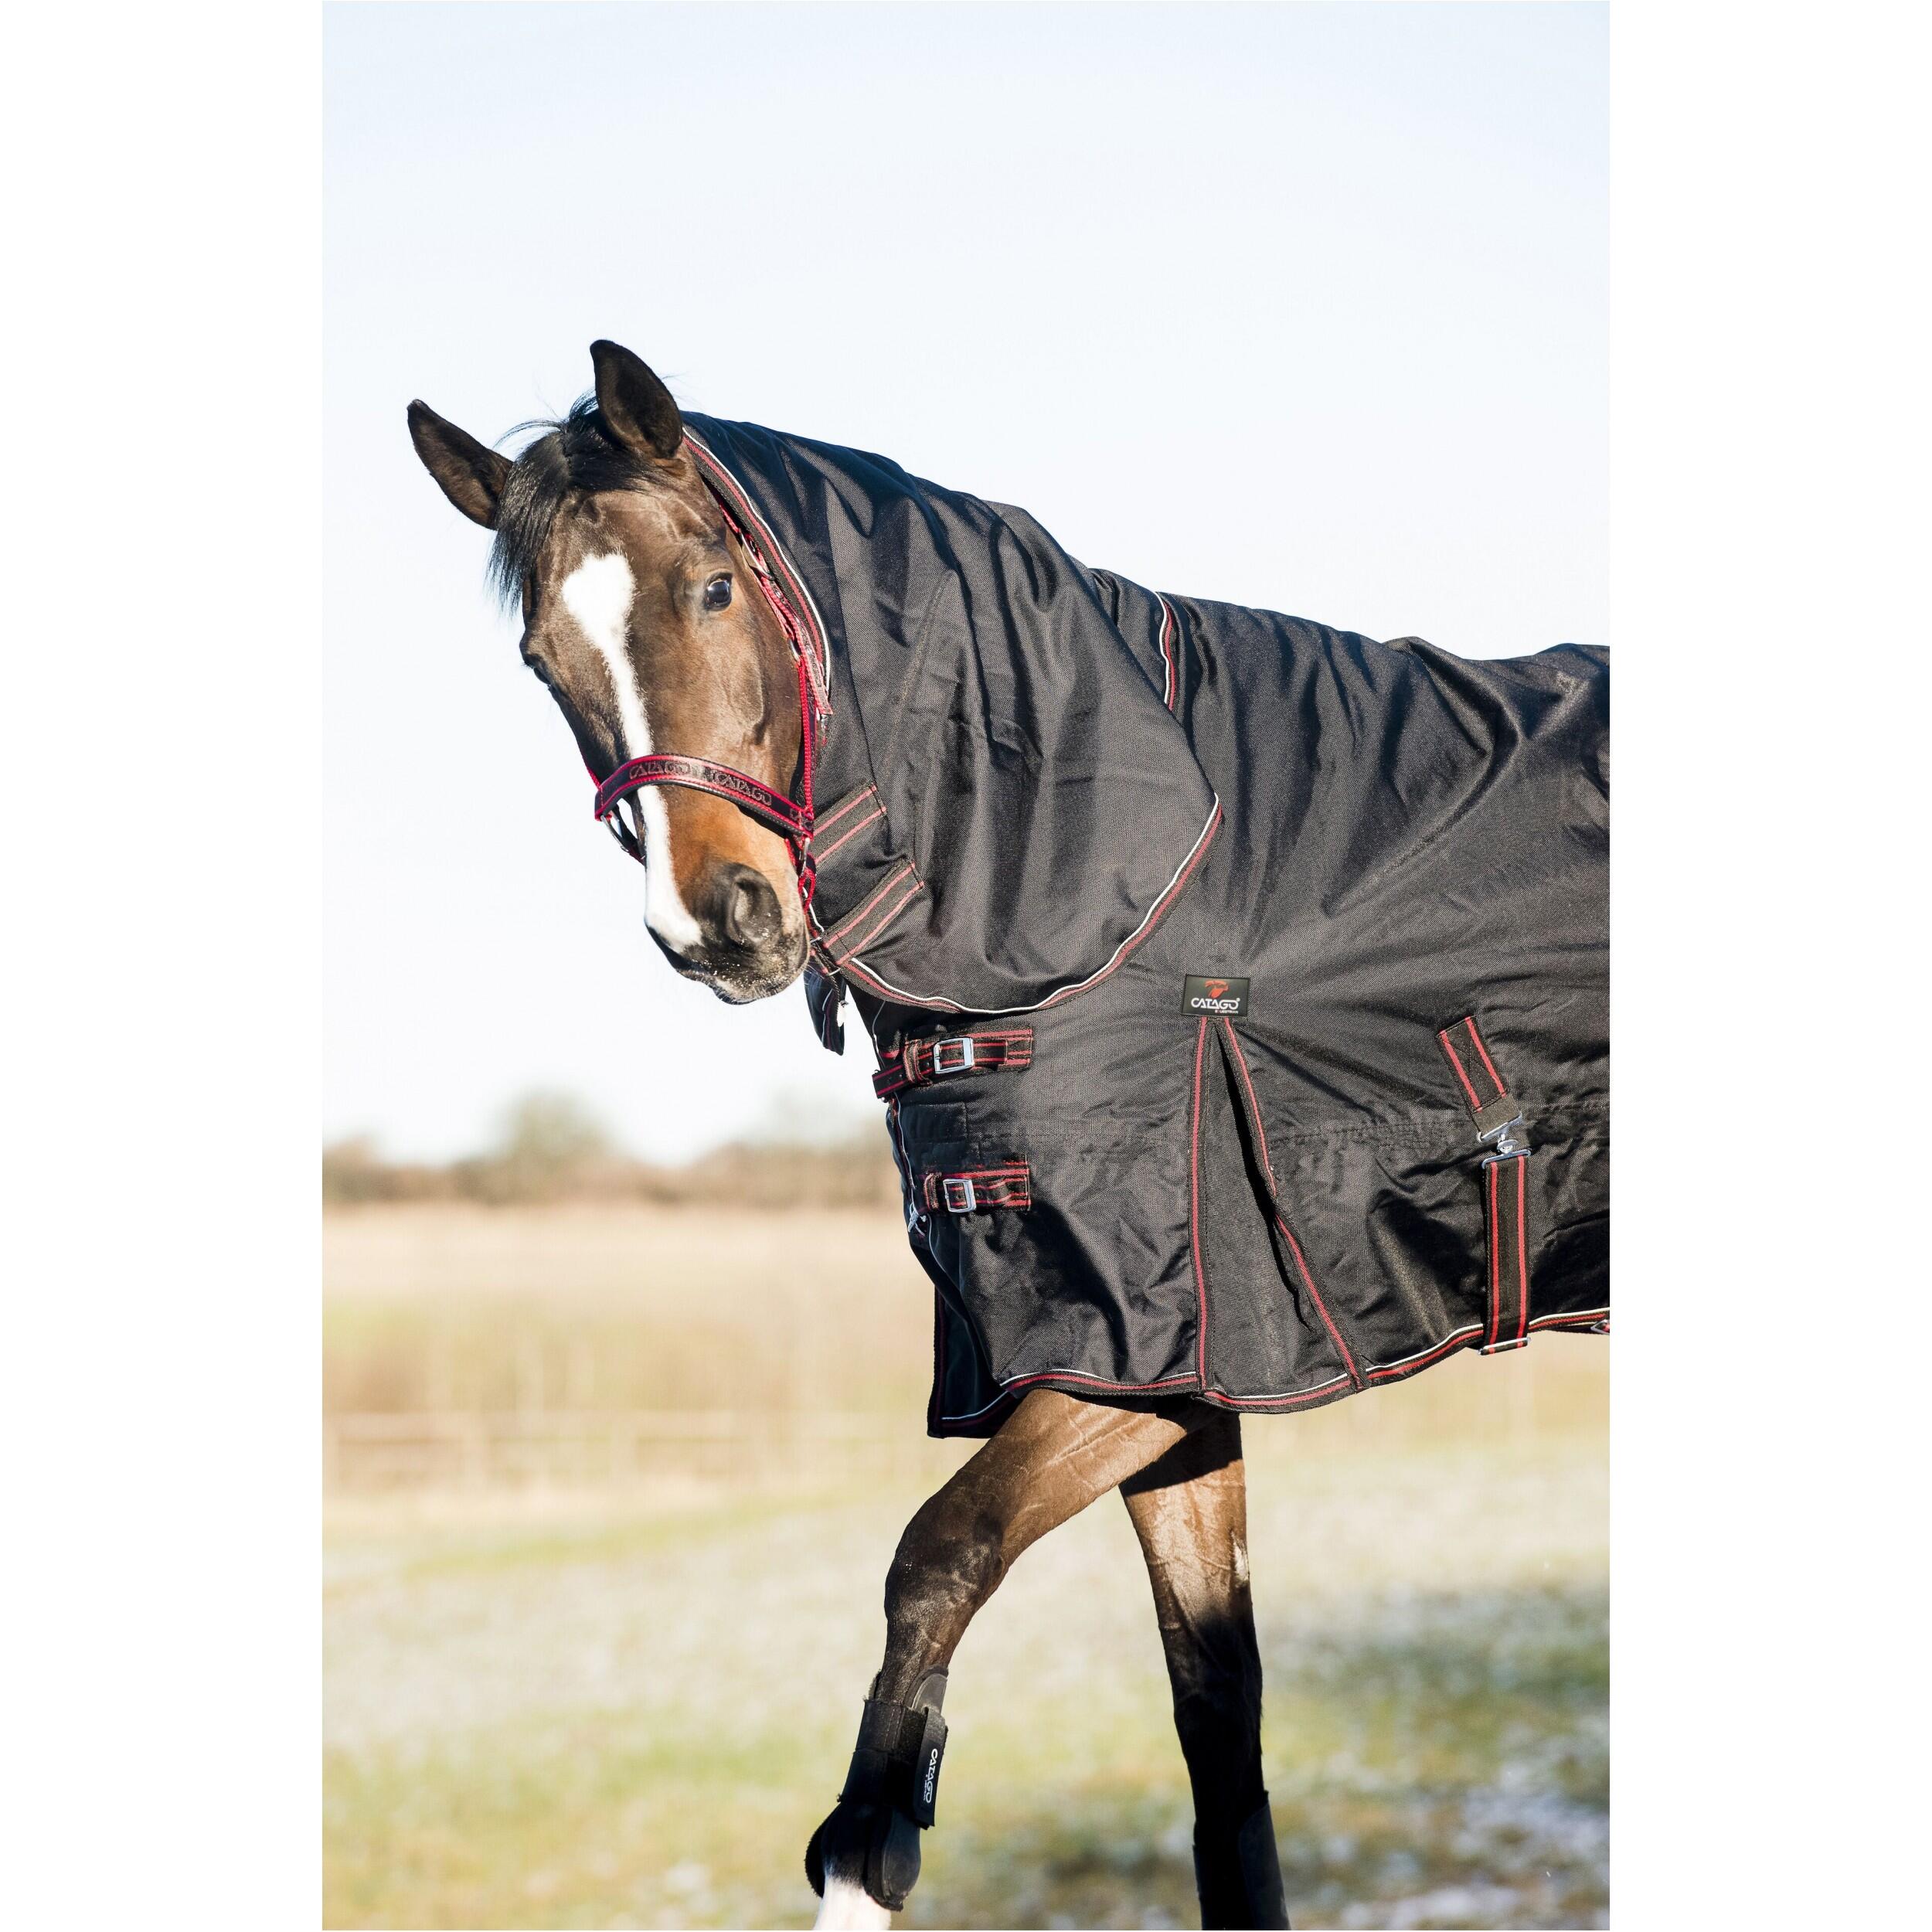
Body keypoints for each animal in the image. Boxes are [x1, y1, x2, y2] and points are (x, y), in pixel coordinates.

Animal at [407, 338, 1609, 1929]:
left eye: (713, 589)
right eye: (547, 661)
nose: (713, 924)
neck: (1116, 892)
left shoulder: (1124, 1358)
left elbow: (934, 1571)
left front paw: (870, 1852)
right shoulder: (1173, 1374)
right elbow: (1220, 1743)